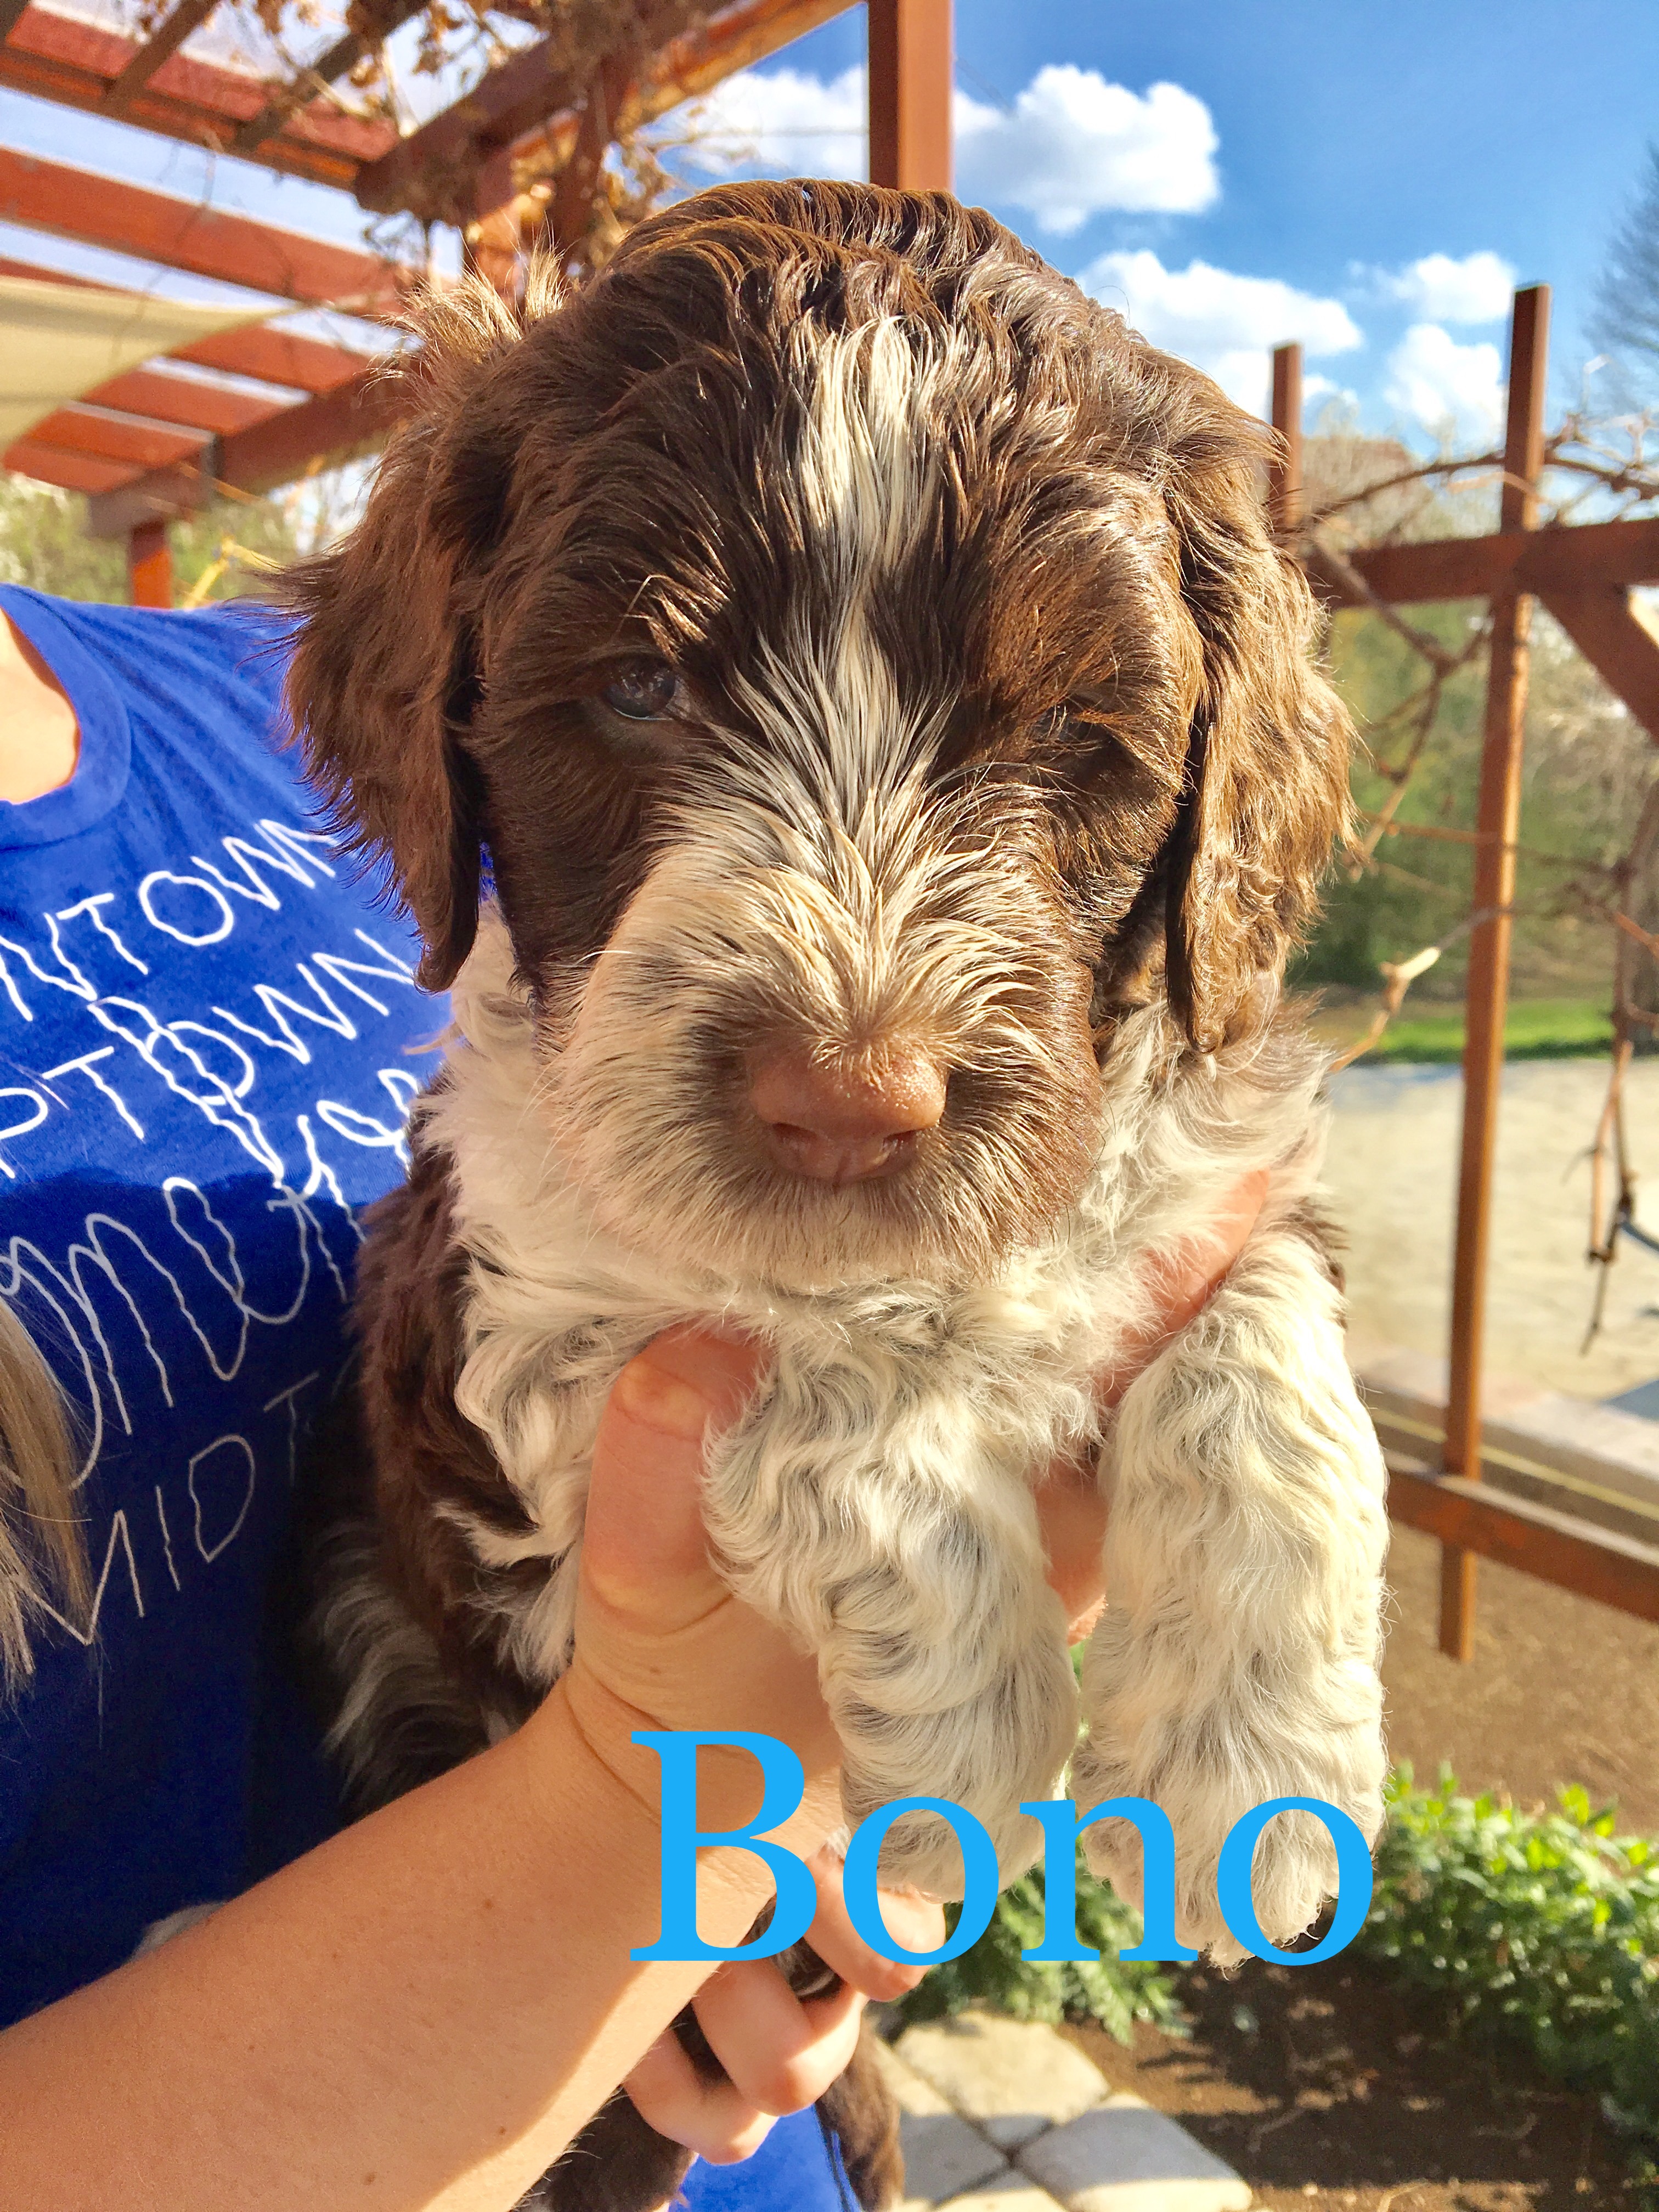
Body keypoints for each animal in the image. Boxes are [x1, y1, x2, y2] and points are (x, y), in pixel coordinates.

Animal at [284, 180, 1389, 2210]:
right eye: (637, 687)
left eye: (1070, 736)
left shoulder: (1212, 1161)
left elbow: (1266, 1349)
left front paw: (1254, 1757)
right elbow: (825, 1389)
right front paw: (963, 1752)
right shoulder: (506, 1326)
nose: (850, 1102)